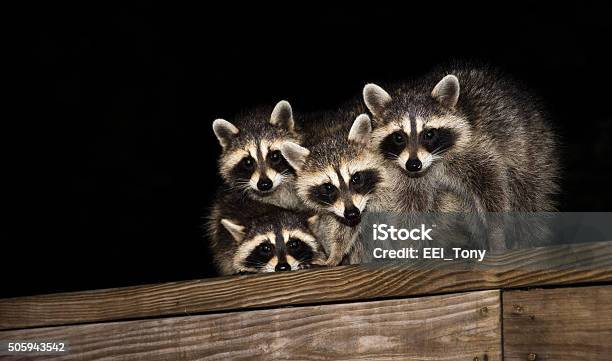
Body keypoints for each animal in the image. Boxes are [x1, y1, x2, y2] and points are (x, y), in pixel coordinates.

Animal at [280, 102, 390, 266]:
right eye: (328, 187)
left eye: (356, 178)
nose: (352, 213)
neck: (331, 134)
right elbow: (344, 227)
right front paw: (335, 255)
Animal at [364, 65, 560, 248]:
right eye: (398, 137)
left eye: (429, 134)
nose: (413, 165)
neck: (434, 162)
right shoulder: (409, 176)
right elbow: (412, 204)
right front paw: (407, 244)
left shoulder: (476, 147)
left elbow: (491, 187)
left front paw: (496, 232)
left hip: (531, 150)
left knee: (527, 195)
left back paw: (526, 238)